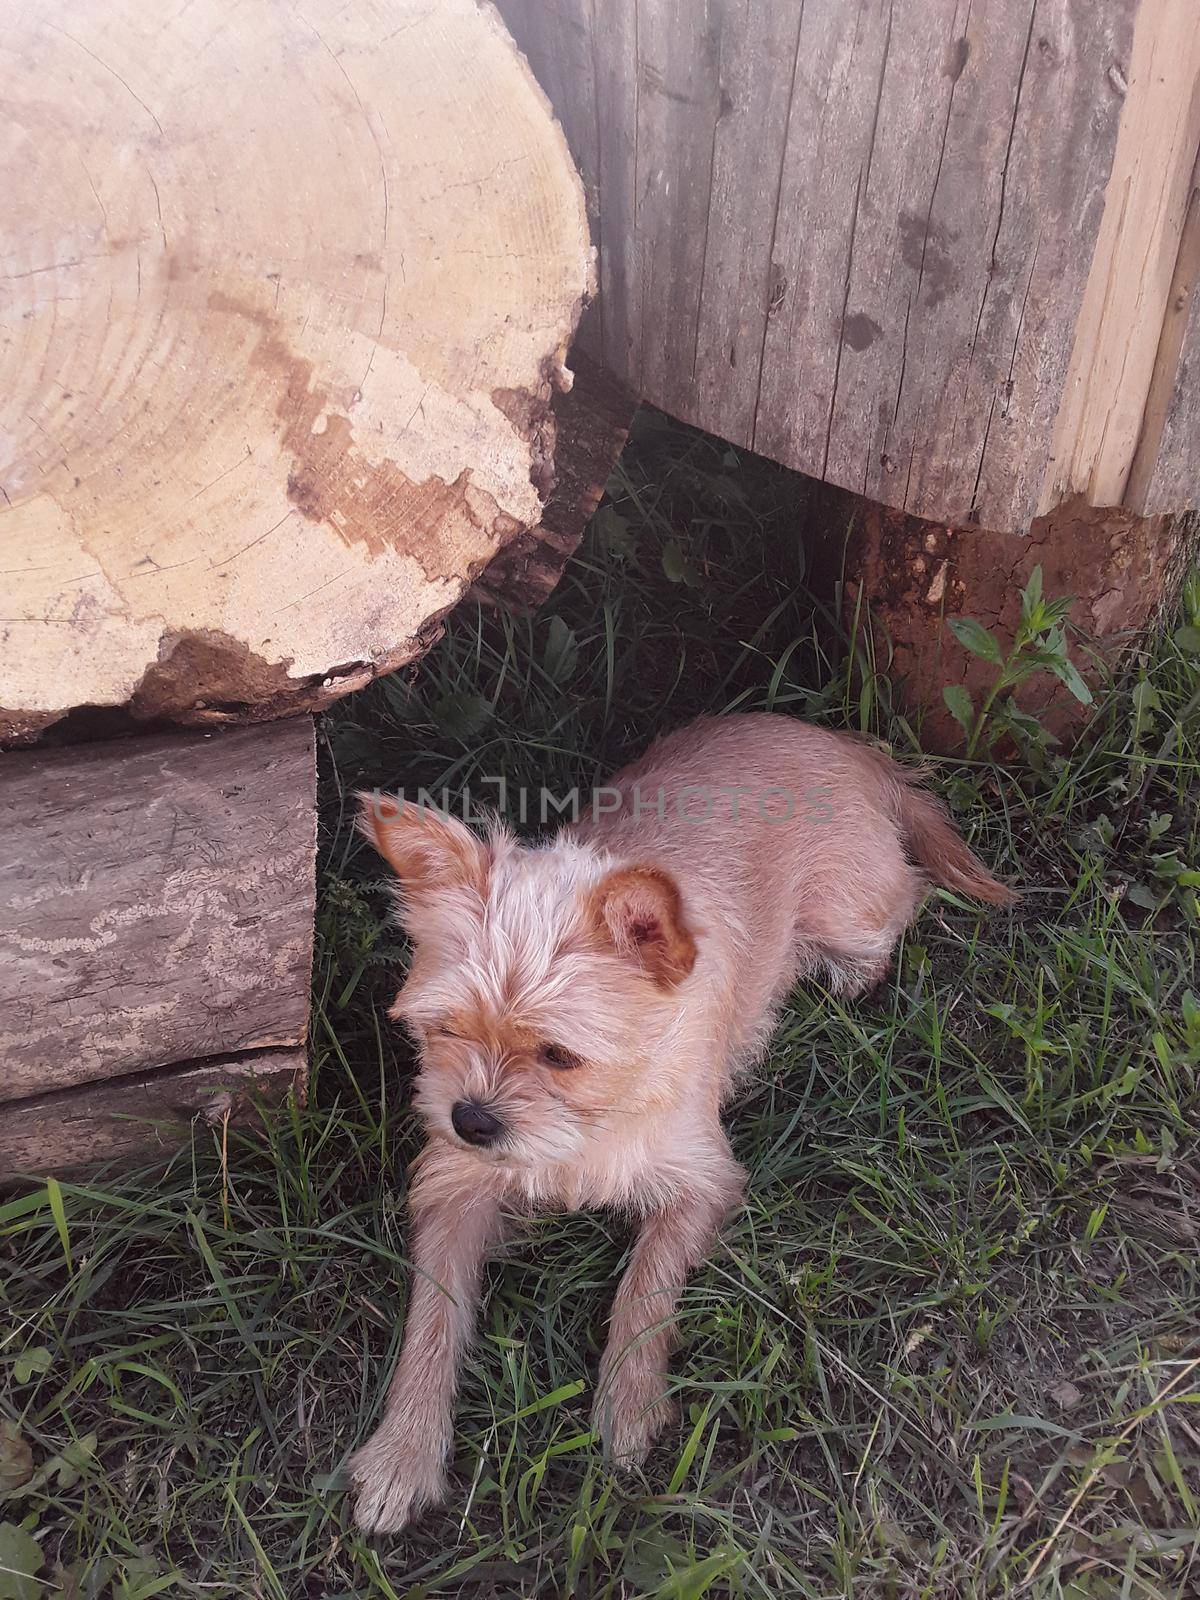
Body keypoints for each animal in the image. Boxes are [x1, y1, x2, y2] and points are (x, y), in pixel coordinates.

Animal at [347, 716, 1017, 1536]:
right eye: (442, 1029)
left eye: (560, 1055)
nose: (468, 1119)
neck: (588, 1131)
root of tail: (840, 742)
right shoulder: (454, 1189)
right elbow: (432, 1319)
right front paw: (404, 1451)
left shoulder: (701, 1182)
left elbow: (645, 1287)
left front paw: (628, 1406)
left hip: (850, 914)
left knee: (900, 907)